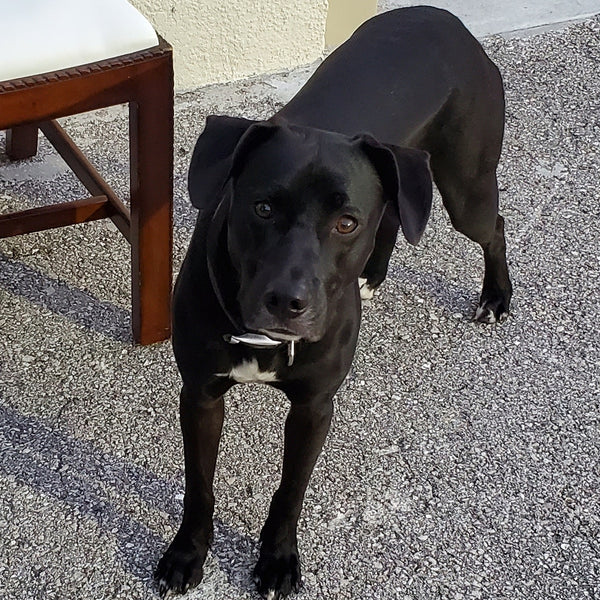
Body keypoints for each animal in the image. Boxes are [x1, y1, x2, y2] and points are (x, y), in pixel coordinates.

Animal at [155, 5, 510, 600]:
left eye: (345, 223)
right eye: (263, 207)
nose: (286, 301)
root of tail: (448, 20)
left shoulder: (314, 406)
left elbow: (289, 491)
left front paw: (277, 559)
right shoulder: (201, 394)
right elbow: (199, 483)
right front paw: (187, 553)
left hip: (466, 186)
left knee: (493, 226)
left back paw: (497, 296)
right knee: (393, 217)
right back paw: (374, 275)